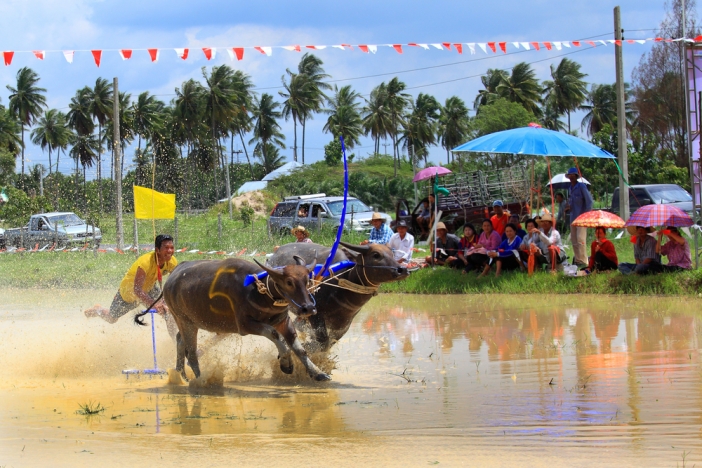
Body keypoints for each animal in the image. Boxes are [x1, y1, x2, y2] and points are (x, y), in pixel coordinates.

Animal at [135, 256, 332, 380]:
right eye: (289, 282)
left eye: (307, 280)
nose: (309, 307)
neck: (257, 291)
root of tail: (171, 279)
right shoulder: (245, 325)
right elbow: (274, 335)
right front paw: (286, 363)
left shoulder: (283, 320)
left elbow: (299, 348)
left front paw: (318, 372)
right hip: (184, 320)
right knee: (191, 352)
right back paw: (200, 379)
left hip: (188, 322)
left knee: (180, 340)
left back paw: (180, 373)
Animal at [268, 243, 410, 350]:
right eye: (376, 255)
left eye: (392, 255)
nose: (402, 269)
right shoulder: (315, 313)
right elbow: (323, 340)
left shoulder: (343, 324)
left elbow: (330, 342)